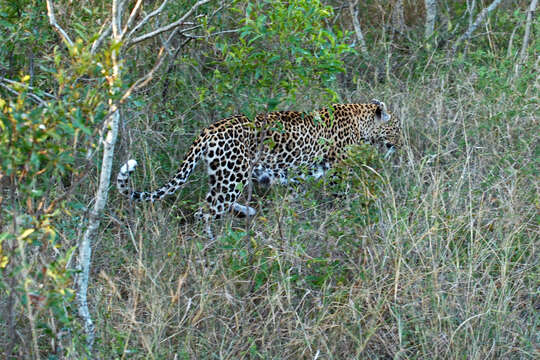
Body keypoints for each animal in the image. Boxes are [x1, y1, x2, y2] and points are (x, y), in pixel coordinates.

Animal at [118, 100, 402, 238]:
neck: (361, 122)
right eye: (396, 128)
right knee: (204, 212)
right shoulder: (337, 171)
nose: (401, 144)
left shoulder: (298, 177)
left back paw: (245, 211)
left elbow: (294, 201)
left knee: (211, 203)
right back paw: (211, 243)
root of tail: (209, 130)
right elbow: (343, 197)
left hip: (223, 175)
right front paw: (349, 215)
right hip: (231, 176)